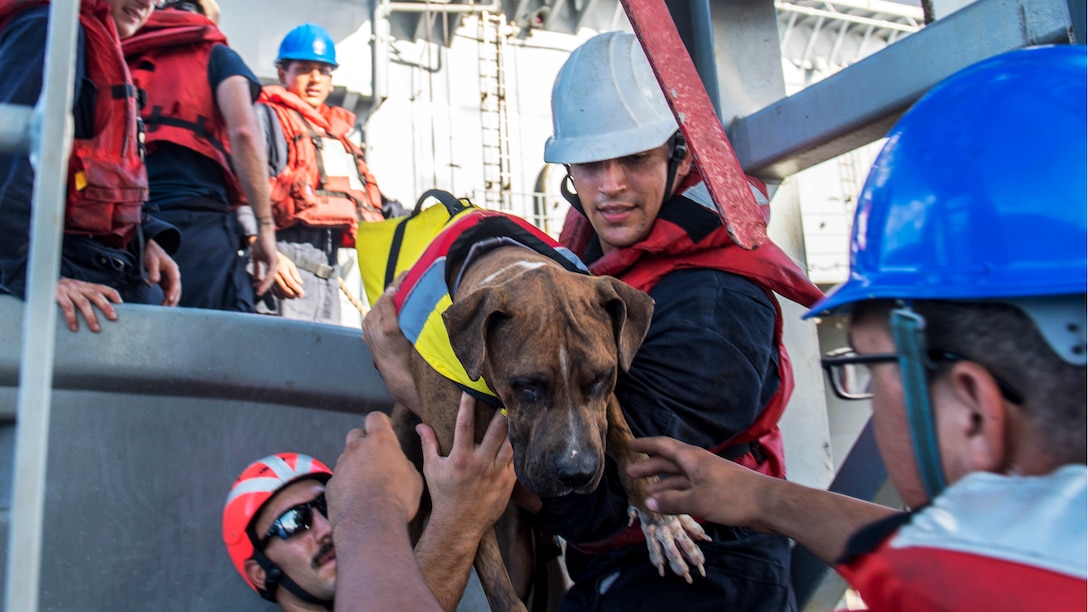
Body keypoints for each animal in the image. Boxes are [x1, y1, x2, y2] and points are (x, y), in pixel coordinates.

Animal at [396, 240, 709, 605]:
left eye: (602, 377)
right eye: (527, 384)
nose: (577, 473)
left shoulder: (606, 404)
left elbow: (628, 445)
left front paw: (660, 521)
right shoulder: (457, 478)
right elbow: (494, 578)